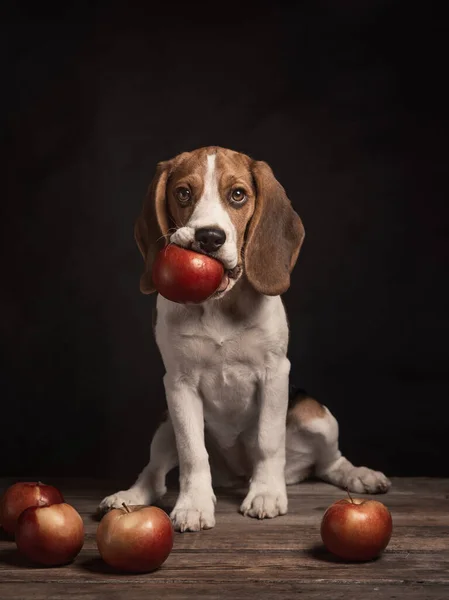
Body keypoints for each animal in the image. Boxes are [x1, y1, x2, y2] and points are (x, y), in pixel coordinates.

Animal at [98, 148, 388, 532]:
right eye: (183, 193)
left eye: (237, 195)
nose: (209, 237)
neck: (220, 304)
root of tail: (235, 476)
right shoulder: (178, 384)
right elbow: (192, 452)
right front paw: (193, 504)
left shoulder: (275, 373)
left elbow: (268, 440)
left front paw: (265, 494)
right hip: (165, 424)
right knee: (155, 474)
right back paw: (129, 496)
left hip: (317, 415)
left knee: (329, 463)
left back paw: (359, 475)